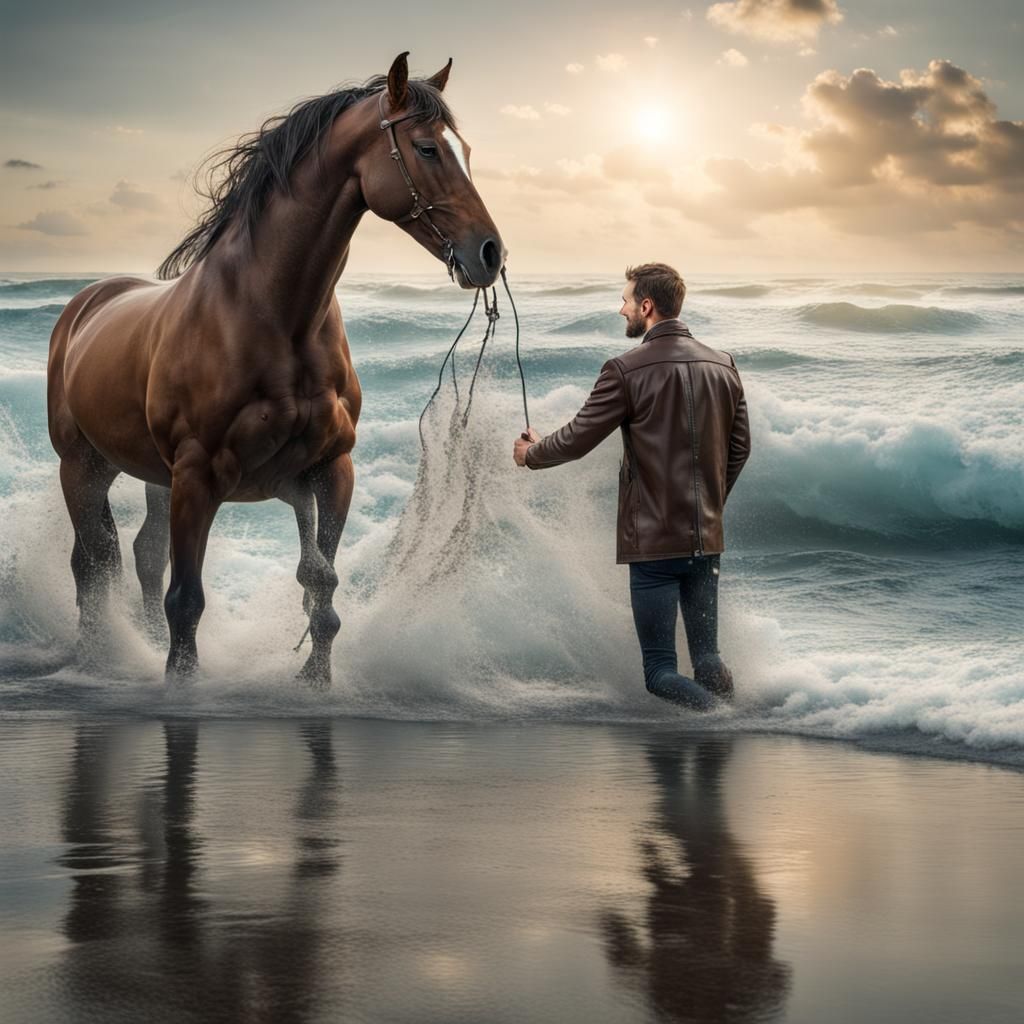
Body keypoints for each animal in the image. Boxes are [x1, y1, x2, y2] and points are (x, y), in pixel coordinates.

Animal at [46, 51, 505, 684]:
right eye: (427, 148)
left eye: (465, 149)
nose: (490, 252)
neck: (273, 315)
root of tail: (88, 302)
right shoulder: (198, 476)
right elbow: (186, 601)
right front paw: (180, 684)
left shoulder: (328, 471)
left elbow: (321, 589)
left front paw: (316, 681)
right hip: (84, 468)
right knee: (92, 562)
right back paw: (99, 656)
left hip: (152, 477)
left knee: (141, 554)